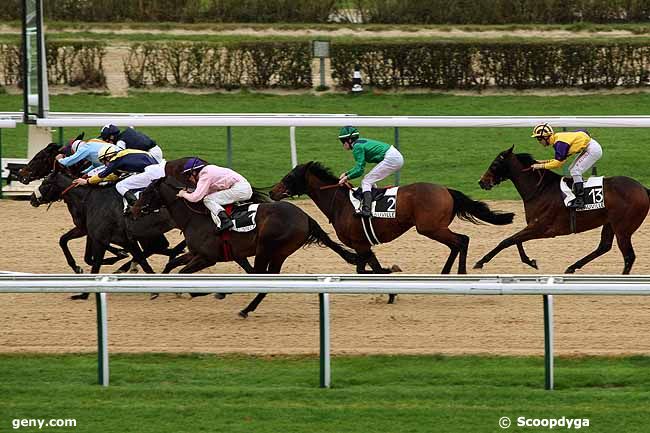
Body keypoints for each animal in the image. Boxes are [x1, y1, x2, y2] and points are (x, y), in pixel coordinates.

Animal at [129, 176, 356, 318]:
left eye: (147, 192)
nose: (133, 211)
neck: (195, 217)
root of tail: (306, 216)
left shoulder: (207, 257)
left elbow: (183, 273)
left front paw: (196, 292)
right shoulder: (196, 253)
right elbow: (172, 265)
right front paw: (158, 289)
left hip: (267, 248)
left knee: (260, 276)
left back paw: (234, 300)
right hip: (279, 253)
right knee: (265, 279)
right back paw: (245, 307)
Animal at [268, 161, 512, 276]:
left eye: (289, 176)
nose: (272, 192)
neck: (340, 204)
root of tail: (447, 190)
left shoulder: (360, 245)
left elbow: (369, 269)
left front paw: (391, 269)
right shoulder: (362, 245)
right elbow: (365, 269)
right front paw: (390, 269)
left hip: (430, 228)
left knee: (461, 240)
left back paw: (459, 272)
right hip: (434, 228)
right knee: (458, 243)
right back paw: (446, 272)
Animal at [470, 145, 648, 274]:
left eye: (495, 164)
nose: (481, 181)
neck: (540, 190)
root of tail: (643, 189)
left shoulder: (541, 228)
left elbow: (507, 241)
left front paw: (480, 262)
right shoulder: (533, 227)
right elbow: (515, 240)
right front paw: (531, 261)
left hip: (623, 228)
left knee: (629, 256)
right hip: (610, 223)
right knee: (604, 246)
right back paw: (572, 267)